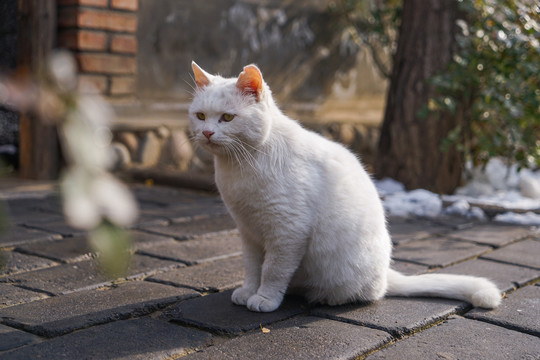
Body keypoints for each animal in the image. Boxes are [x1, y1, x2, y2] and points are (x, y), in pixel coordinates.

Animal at [190, 62, 502, 312]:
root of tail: (386, 274)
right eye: (201, 116)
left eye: (227, 117)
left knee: (366, 295)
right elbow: (253, 268)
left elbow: (273, 271)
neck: (239, 166)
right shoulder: (249, 231)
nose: (207, 132)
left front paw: (265, 298)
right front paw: (248, 291)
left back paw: (323, 297)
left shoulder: (288, 231)